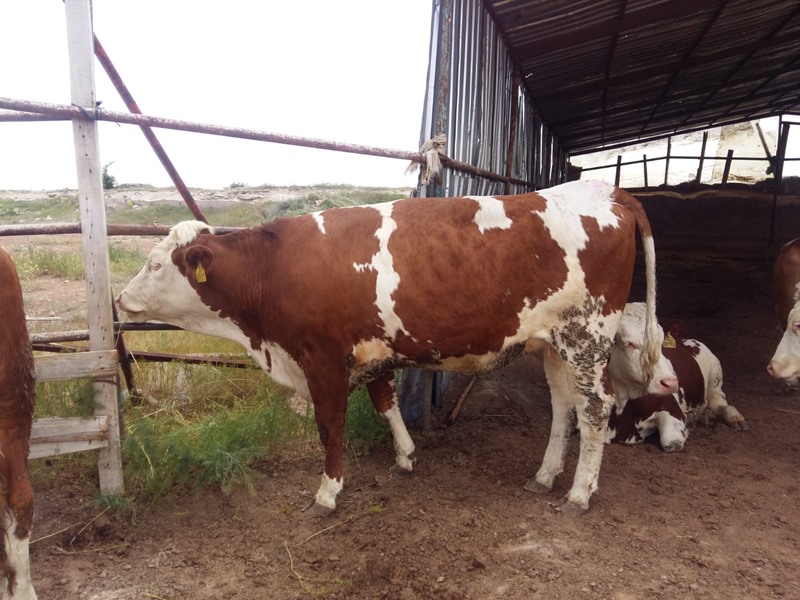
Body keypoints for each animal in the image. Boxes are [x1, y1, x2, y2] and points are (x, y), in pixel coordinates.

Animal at [117, 178, 668, 516]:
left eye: (155, 264)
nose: (120, 298)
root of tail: (607, 190)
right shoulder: (372, 348)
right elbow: (385, 402)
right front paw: (405, 455)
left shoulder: (322, 357)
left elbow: (331, 425)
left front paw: (327, 493)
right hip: (554, 343)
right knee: (562, 407)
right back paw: (546, 475)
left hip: (587, 336)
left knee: (595, 410)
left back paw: (578, 493)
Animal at [608, 302, 748, 452]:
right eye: (629, 344)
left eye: (661, 342)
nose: (670, 382)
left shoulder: (672, 408)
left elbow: (672, 442)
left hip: (715, 375)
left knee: (719, 403)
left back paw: (733, 417)